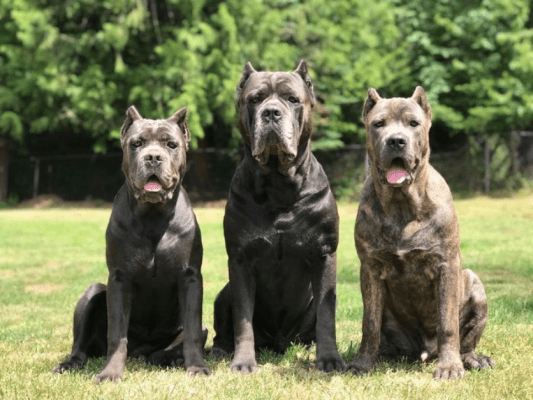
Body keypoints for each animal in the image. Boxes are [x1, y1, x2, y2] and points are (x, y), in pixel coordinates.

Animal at [53, 105, 211, 382]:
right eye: (136, 143)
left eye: (171, 144)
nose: (153, 157)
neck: (153, 217)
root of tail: (142, 352)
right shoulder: (119, 278)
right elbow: (117, 333)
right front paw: (110, 373)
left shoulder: (190, 277)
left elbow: (191, 331)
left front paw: (197, 367)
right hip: (92, 293)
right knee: (80, 345)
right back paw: (69, 363)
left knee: (171, 346)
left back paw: (171, 358)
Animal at [212, 60, 344, 376]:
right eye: (255, 99)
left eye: (292, 99)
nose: (271, 112)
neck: (277, 183)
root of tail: (280, 343)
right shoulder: (240, 260)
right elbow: (243, 319)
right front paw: (243, 362)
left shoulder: (324, 254)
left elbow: (326, 315)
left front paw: (329, 359)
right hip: (224, 293)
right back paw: (221, 350)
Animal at [348, 86, 492, 380]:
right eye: (378, 124)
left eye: (413, 123)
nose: (396, 141)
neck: (402, 205)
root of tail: (425, 352)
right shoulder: (370, 268)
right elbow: (369, 323)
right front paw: (362, 363)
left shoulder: (446, 265)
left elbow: (448, 323)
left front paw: (449, 367)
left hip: (474, 283)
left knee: (466, 342)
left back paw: (473, 359)